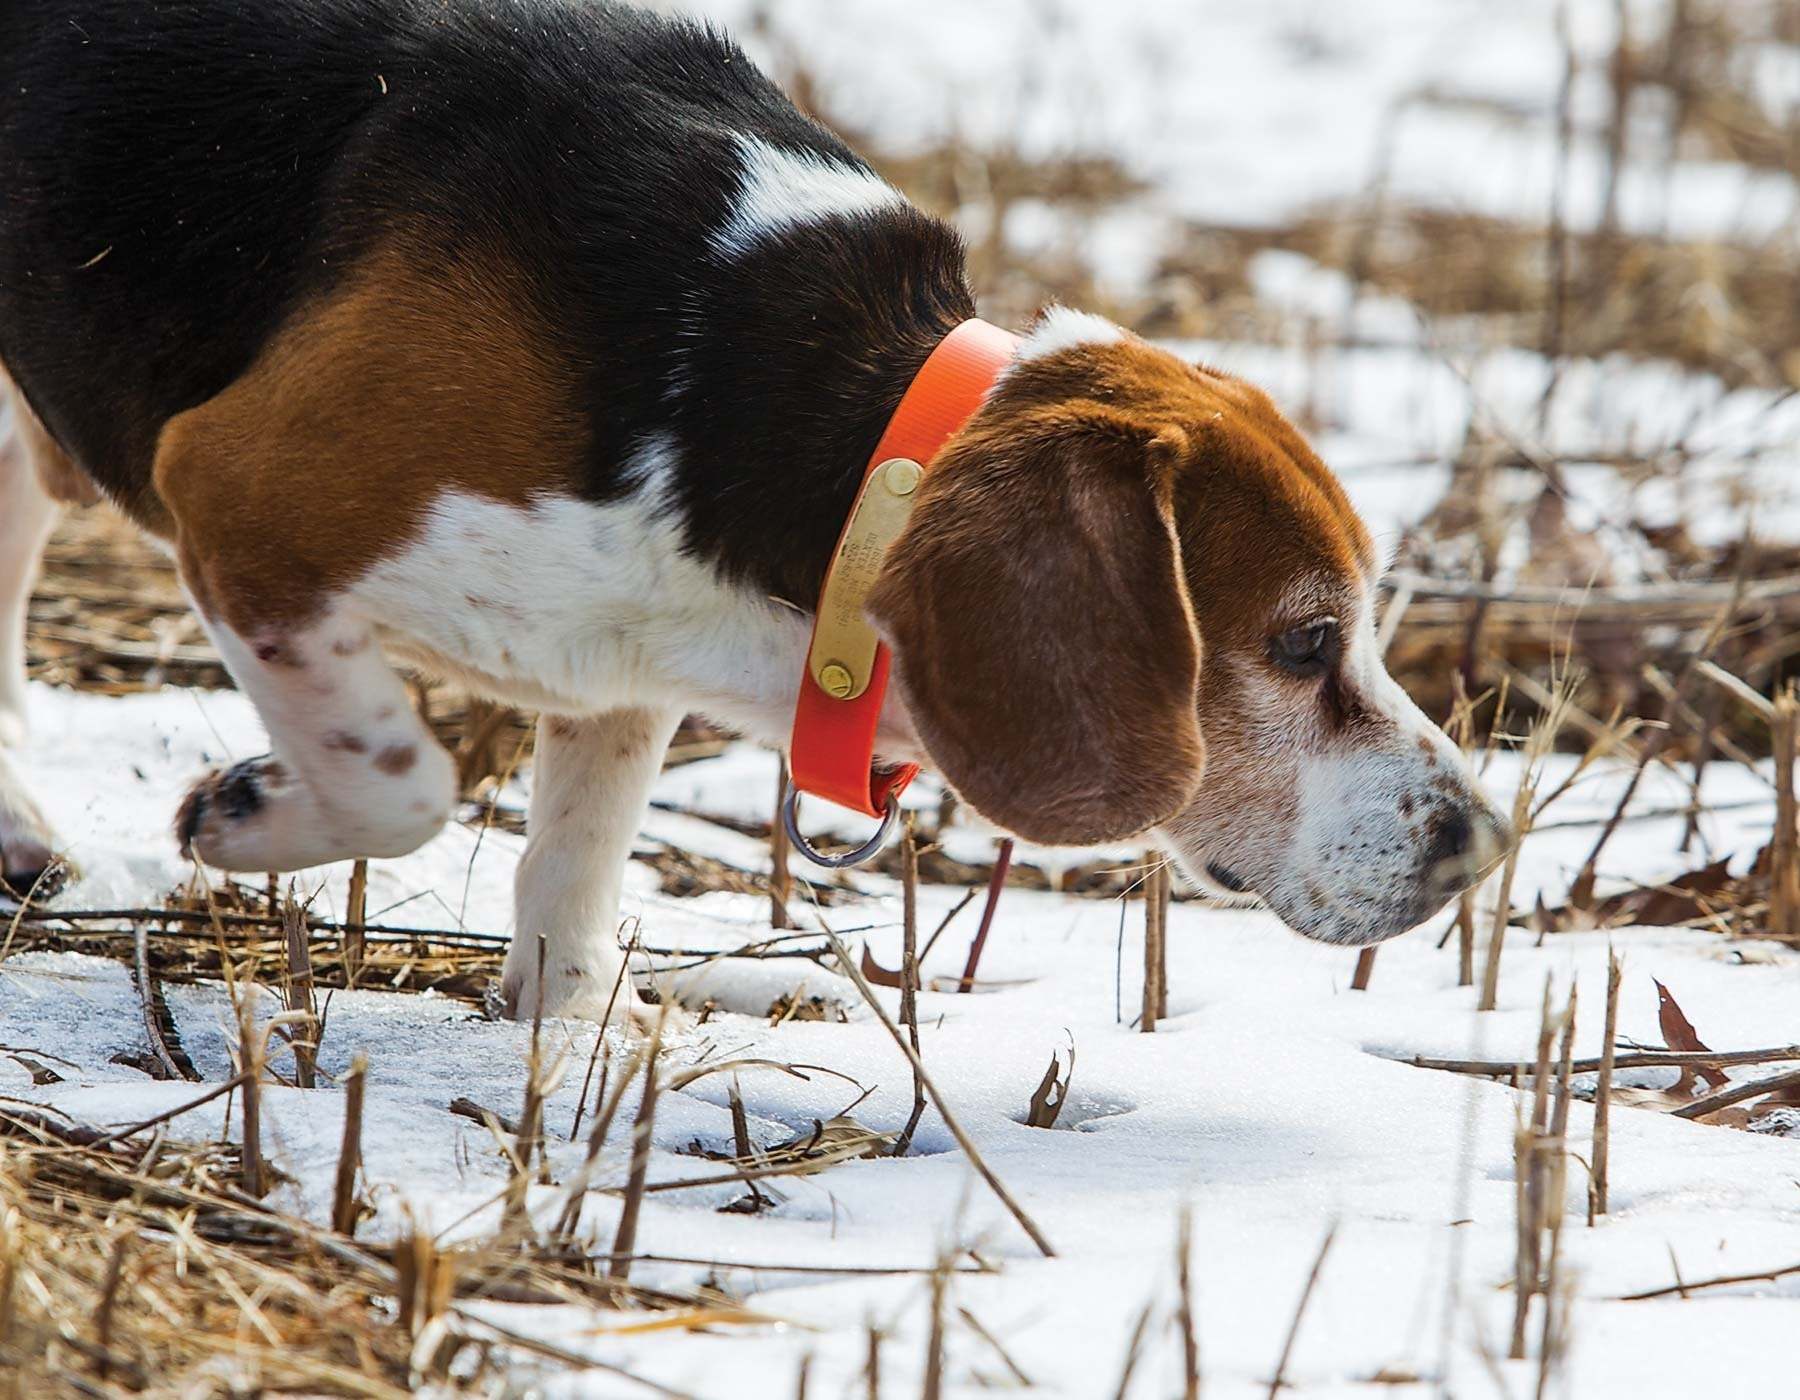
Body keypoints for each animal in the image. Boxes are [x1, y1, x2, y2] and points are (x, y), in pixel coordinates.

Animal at [3, 5, 1504, 1022]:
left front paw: (570, 1044)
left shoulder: (613, 671)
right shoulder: (237, 499)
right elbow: (405, 783)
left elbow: (567, 892)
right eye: (1303, 643)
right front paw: (243, 816)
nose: (1482, 842)